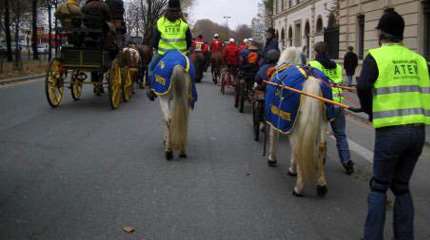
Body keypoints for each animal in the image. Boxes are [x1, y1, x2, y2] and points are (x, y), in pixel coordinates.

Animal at [266, 47, 330, 197]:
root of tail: (310, 80)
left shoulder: (275, 121)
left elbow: (273, 138)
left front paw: (272, 159)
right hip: (322, 123)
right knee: (321, 147)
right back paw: (321, 184)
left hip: (295, 128)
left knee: (297, 148)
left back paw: (298, 187)